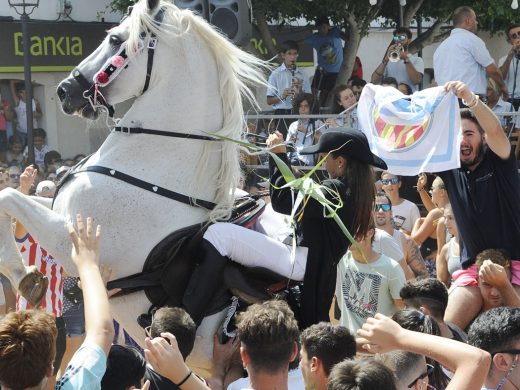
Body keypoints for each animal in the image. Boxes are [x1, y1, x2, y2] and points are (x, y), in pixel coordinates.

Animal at [0, 0, 266, 378]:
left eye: (115, 39)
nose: (64, 90)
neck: (154, 171)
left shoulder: (71, 238)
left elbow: (7, 197)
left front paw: (25, 277)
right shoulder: (56, 209)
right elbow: (8, 198)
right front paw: (27, 274)